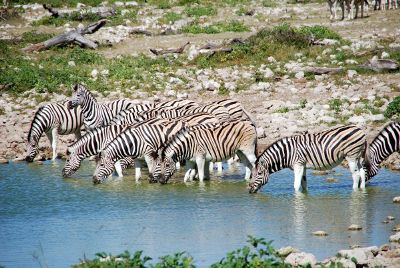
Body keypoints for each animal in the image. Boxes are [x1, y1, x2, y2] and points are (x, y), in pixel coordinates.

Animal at [92, 112, 220, 183]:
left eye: (101, 165)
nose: (93, 180)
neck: (134, 141)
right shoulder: (137, 158)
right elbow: (137, 176)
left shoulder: (149, 155)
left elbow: (151, 170)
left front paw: (153, 180)